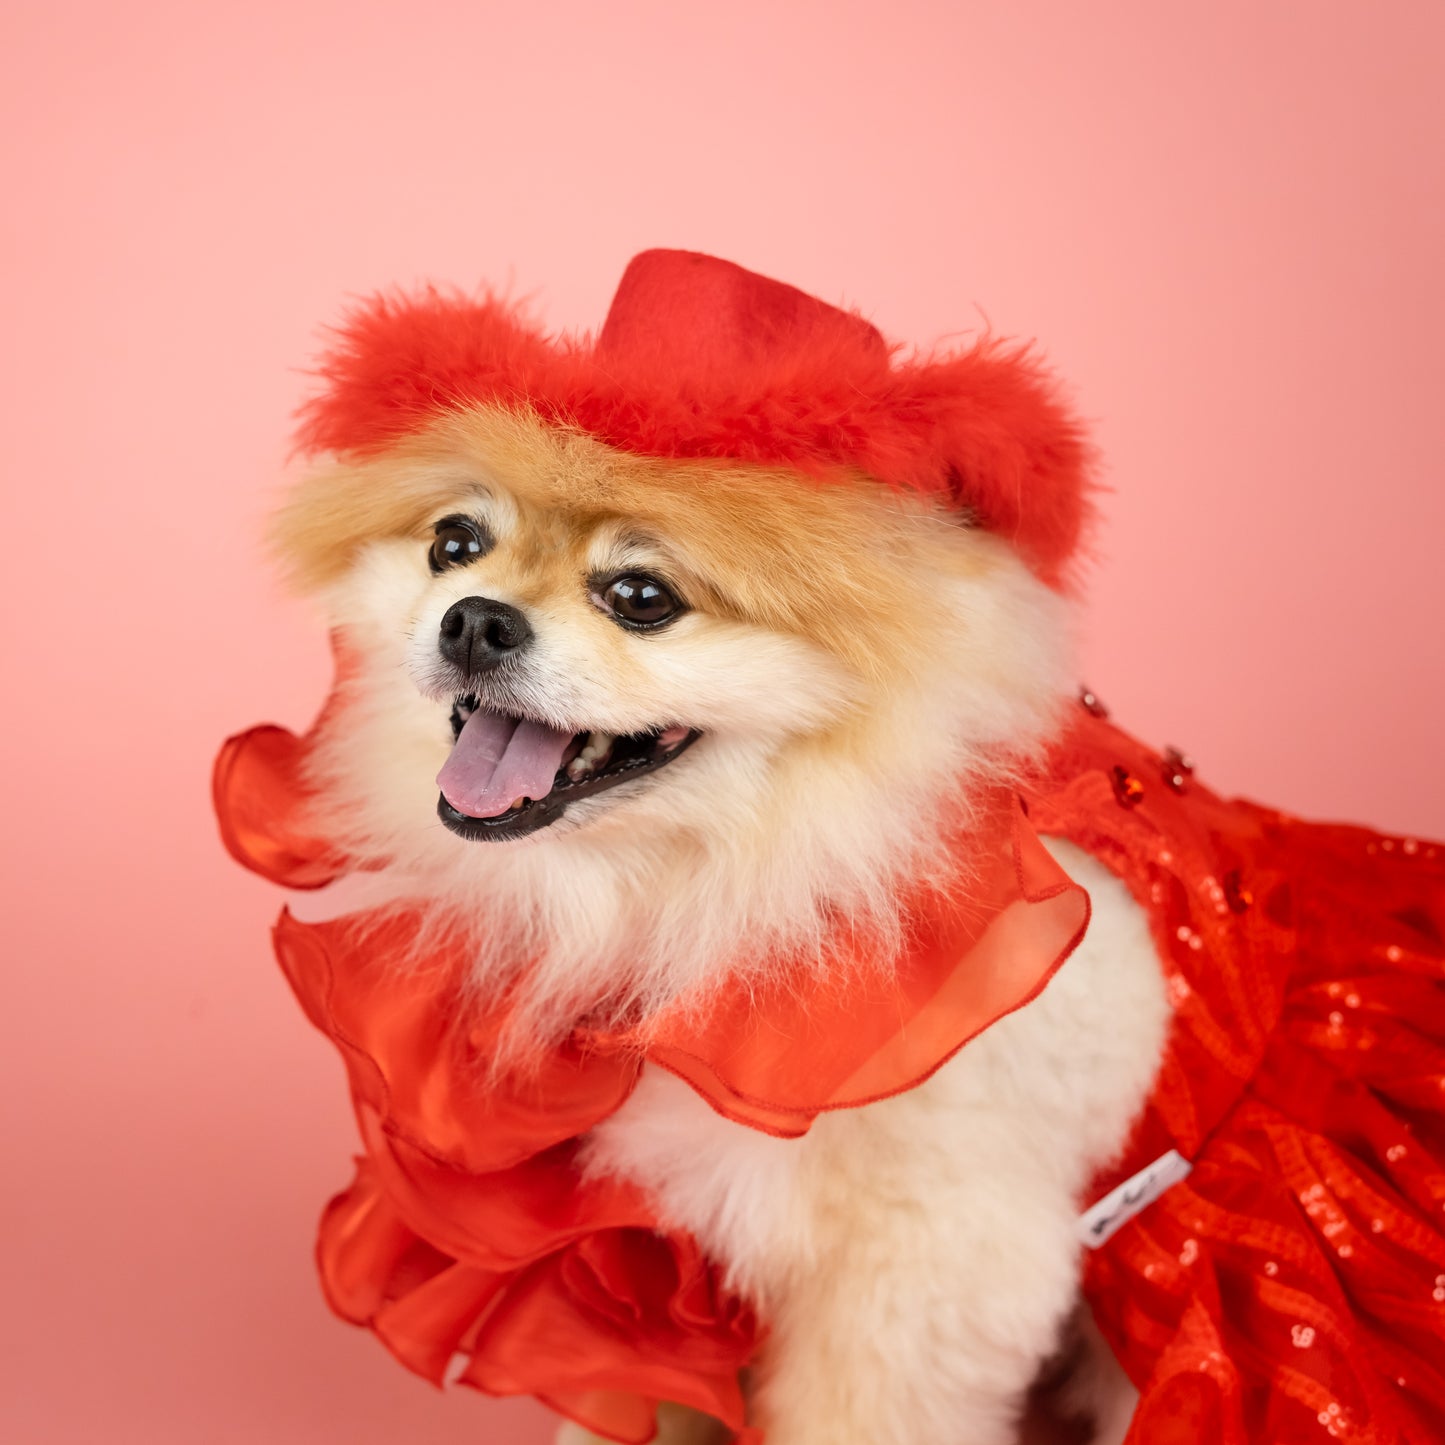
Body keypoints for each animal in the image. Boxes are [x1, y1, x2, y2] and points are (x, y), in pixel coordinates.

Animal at [222, 251, 1445, 1445]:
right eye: (453, 543)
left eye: (641, 595)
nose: (474, 617)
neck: (725, 870)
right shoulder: (646, 1248)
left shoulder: (921, 1269)